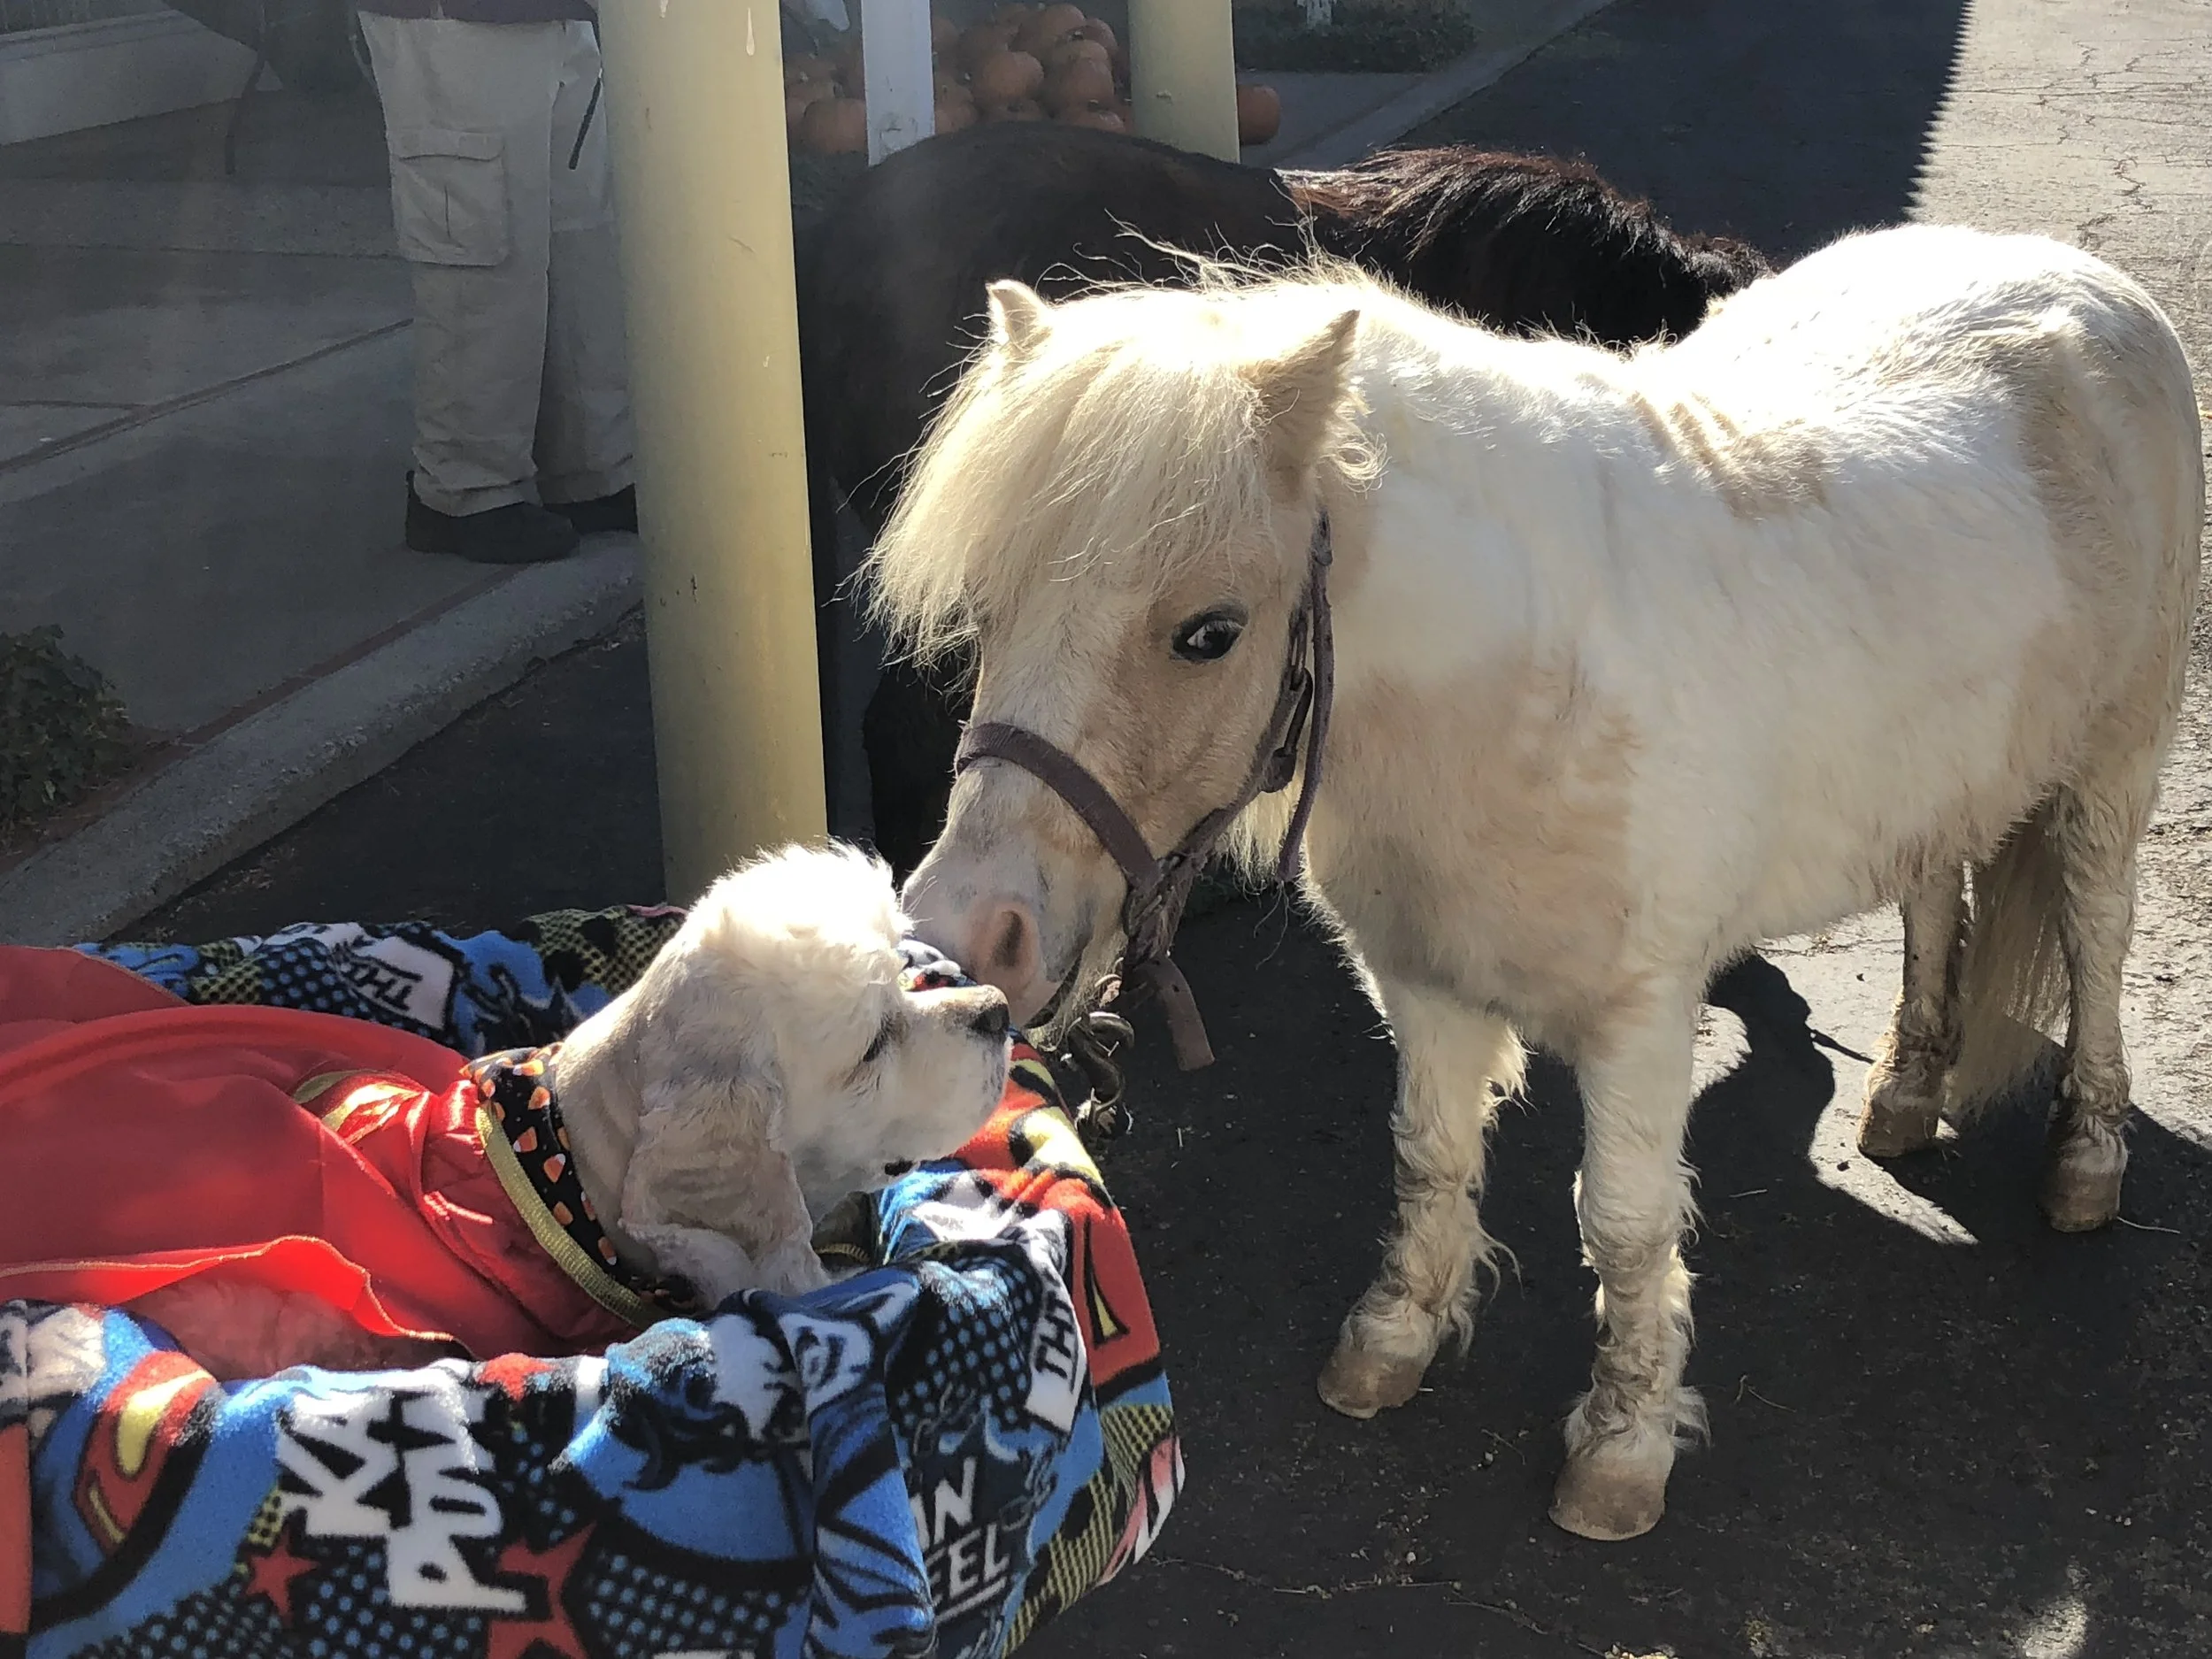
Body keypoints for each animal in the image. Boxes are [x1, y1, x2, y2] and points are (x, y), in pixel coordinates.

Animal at [866, 226, 2205, 1540]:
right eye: (987, 610)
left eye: (1209, 632)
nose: (969, 932)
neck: (1518, 687)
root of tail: (2073, 272)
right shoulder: (1424, 982)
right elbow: (1427, 1154)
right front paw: (1393, 1340)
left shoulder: (1642, 1020)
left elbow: (1623, 1225)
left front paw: (1621, 1451)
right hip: (1944, 781)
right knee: (1936, 897)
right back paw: (1909, 1093)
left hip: (2109, 772)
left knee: (2095, 928)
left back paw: (2085, 1159)